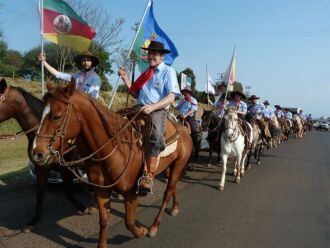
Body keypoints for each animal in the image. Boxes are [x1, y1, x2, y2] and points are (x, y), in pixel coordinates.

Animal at [0, 78, 91, 232]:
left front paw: (83, 207)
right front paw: (33, 221)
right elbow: (40, 194)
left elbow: (68, 191)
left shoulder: (64, 168)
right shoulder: (40, 168)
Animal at [31, 80, 193, 247]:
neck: (113, 150)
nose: (37, 153)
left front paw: (142, 231)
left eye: (56, 116)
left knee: (168, 192)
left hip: (178, 165)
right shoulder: (101, 191)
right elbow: (103, 221)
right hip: (168, 167)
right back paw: (175, 207)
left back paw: (154, 226)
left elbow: (129, 222)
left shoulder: (131, 192)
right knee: (173, 188)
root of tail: (184, 130)